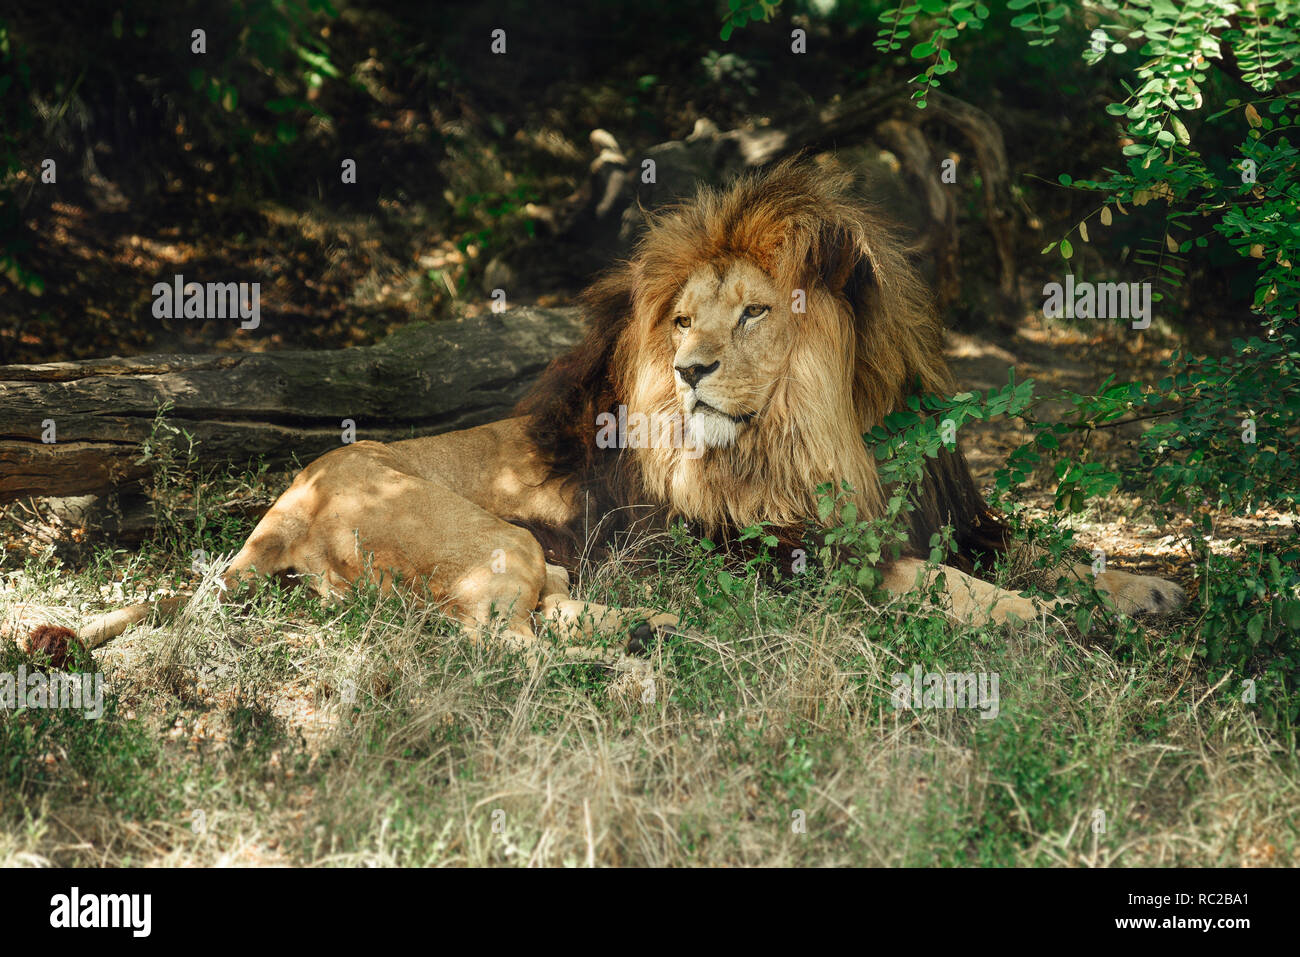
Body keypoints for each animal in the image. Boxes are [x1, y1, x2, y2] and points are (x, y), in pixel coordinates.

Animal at [52, 159, 1183, 659]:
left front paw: (1147, 588)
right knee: (492, 634)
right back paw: (639, 645)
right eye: (682, 320)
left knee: (535, 607)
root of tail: (271, 519)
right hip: (487, 533)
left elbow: (1044, 552)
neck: (827, 439)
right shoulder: (780, 558)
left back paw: (644, 626)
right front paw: (1053, 624)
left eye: (754, 311)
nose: (688, 371)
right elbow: (947, 586)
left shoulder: (951, 518)